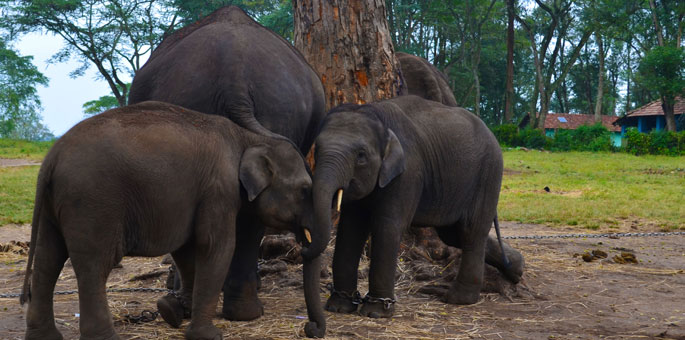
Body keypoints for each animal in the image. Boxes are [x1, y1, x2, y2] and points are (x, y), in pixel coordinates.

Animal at [21, 101, 326, 340]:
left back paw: (44, 337)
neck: (247, 138)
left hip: (53, 206)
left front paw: (173, 312)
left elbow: (187, 250)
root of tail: (52, 157)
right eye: (304, 190)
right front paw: (208, 335)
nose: (311, 329)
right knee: (95, 265)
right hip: (93, 202)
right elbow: (215, 247)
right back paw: (105, 337)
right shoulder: (219, 189)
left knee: (48, 259)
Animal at [312, 94, 524, 318]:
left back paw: (459, 299)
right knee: (453, 235)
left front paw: (376, 312)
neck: (377, 116)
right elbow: (351, 228)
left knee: (471, 232)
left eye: (361, 155)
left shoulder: (408, 173)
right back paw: (517, 268)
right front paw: (338, 307)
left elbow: (387, 227)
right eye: (316, 149)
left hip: (488, 175)